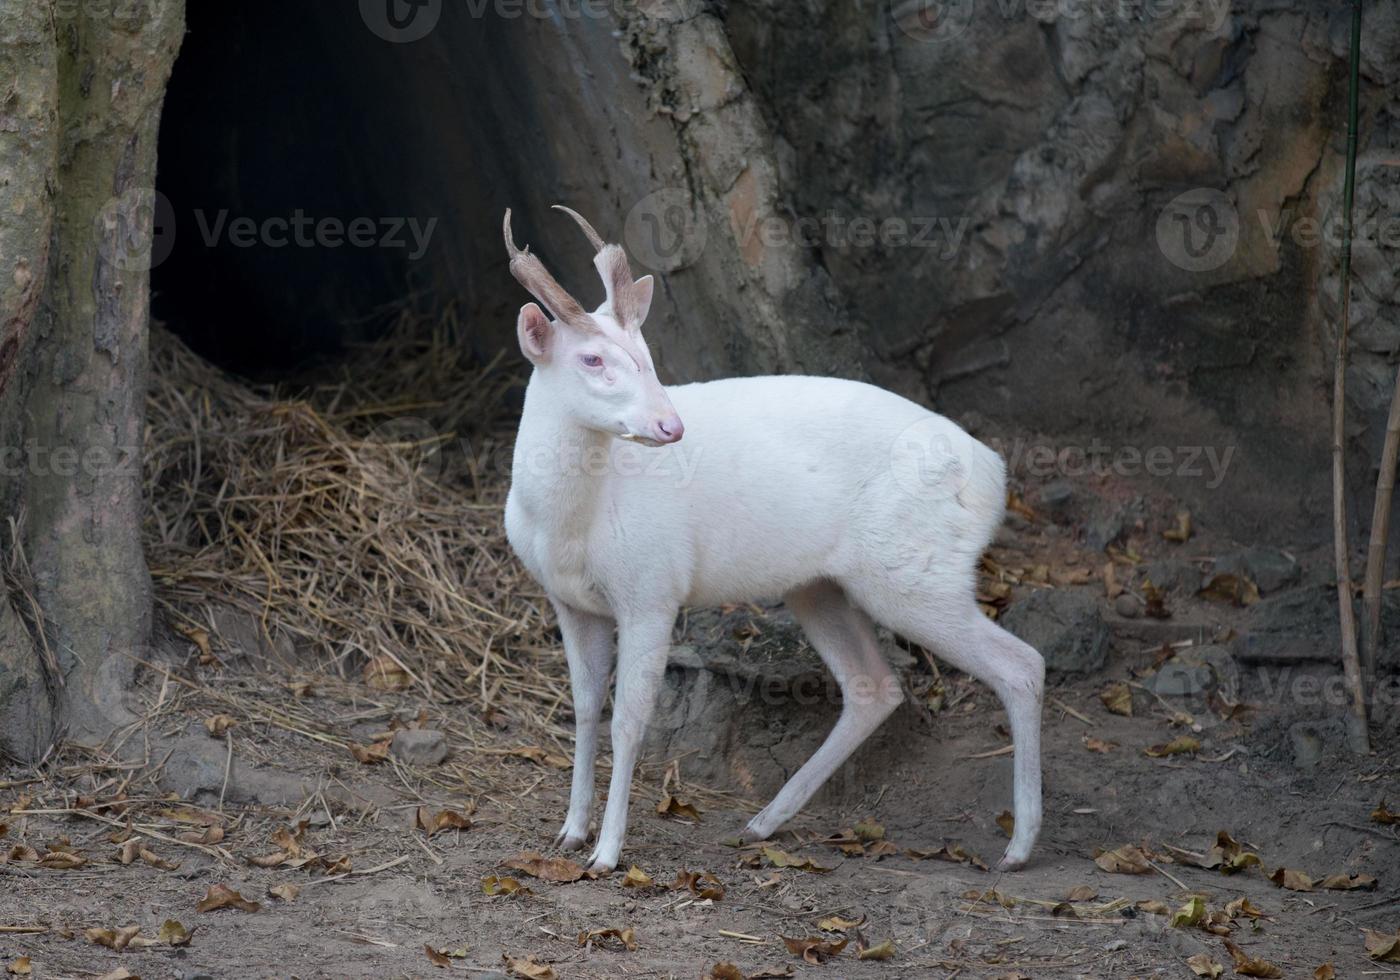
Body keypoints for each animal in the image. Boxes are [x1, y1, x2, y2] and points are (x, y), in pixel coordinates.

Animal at [501, 207, 1041, 873]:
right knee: (873, 685)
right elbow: (582, 708)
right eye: (593, 360)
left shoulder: (653, 589)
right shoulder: (570, 601)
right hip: (820, 586)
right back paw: (761, 822)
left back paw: (1018, 847)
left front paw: (606, 853)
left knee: (1022, 664)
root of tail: (993, 476)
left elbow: (628, 719)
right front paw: (570, 832)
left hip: (916, 576)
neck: (572, 524)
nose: (670, 426)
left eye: (646, 354)